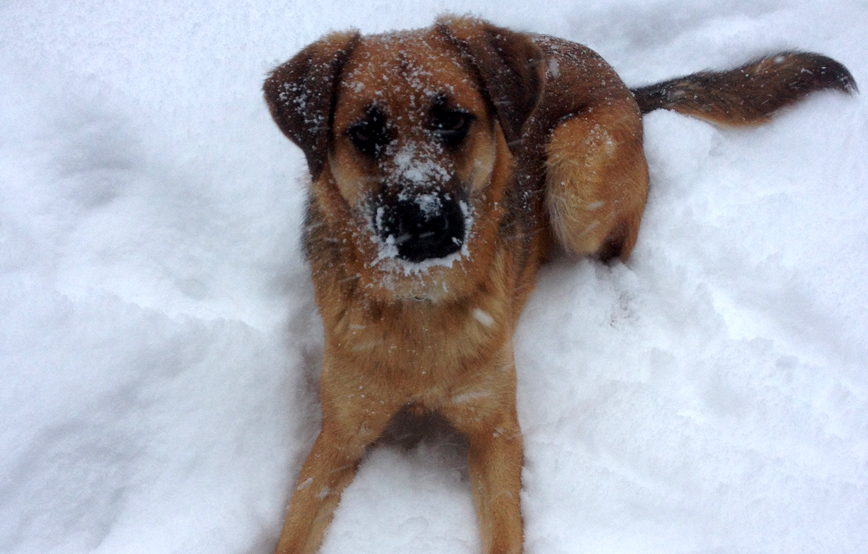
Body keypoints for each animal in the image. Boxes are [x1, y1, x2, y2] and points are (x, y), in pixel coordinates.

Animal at [260, 15, 856, 552]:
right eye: (365, 133)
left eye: (453, 120)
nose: (424, 221)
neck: (420, 304)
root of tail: (622, 83)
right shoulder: (337, 439)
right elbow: (293, 531)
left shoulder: (496, 433)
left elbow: (505, 530)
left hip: (575, 165)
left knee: (617, 248)